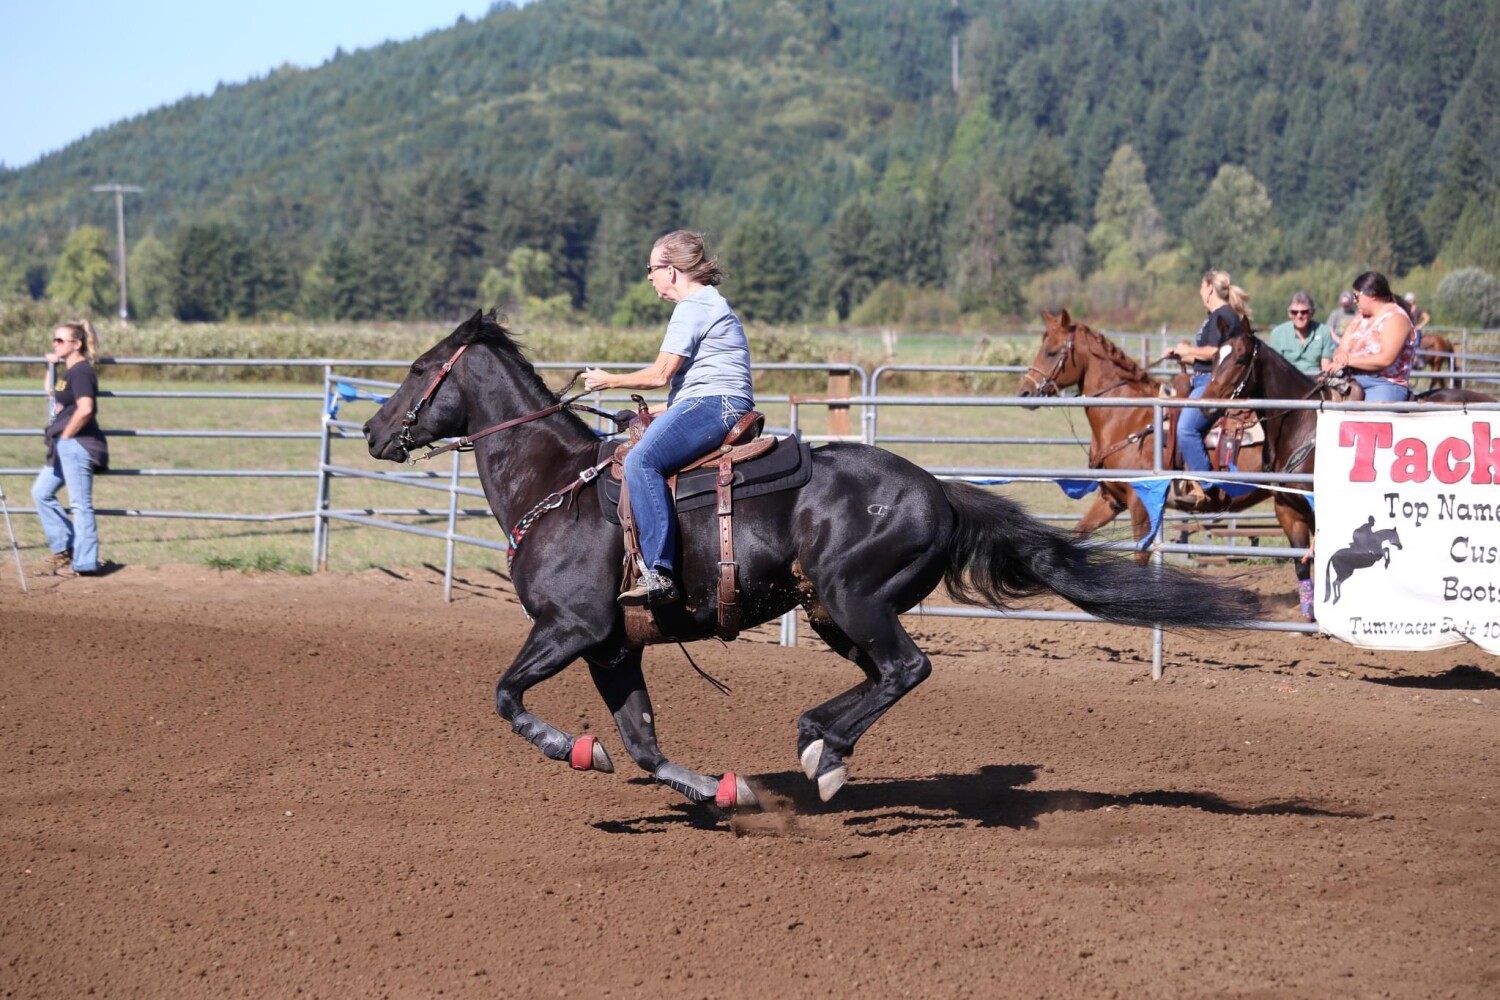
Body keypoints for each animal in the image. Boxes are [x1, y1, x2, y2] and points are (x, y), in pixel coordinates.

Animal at [1018, 310, 1270, 562]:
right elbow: (1079, 533)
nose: (1024, 392)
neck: (1127, 417)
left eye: (1051, 352)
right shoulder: (1112, 500)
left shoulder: (1140, 500)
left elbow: (1140, 553)